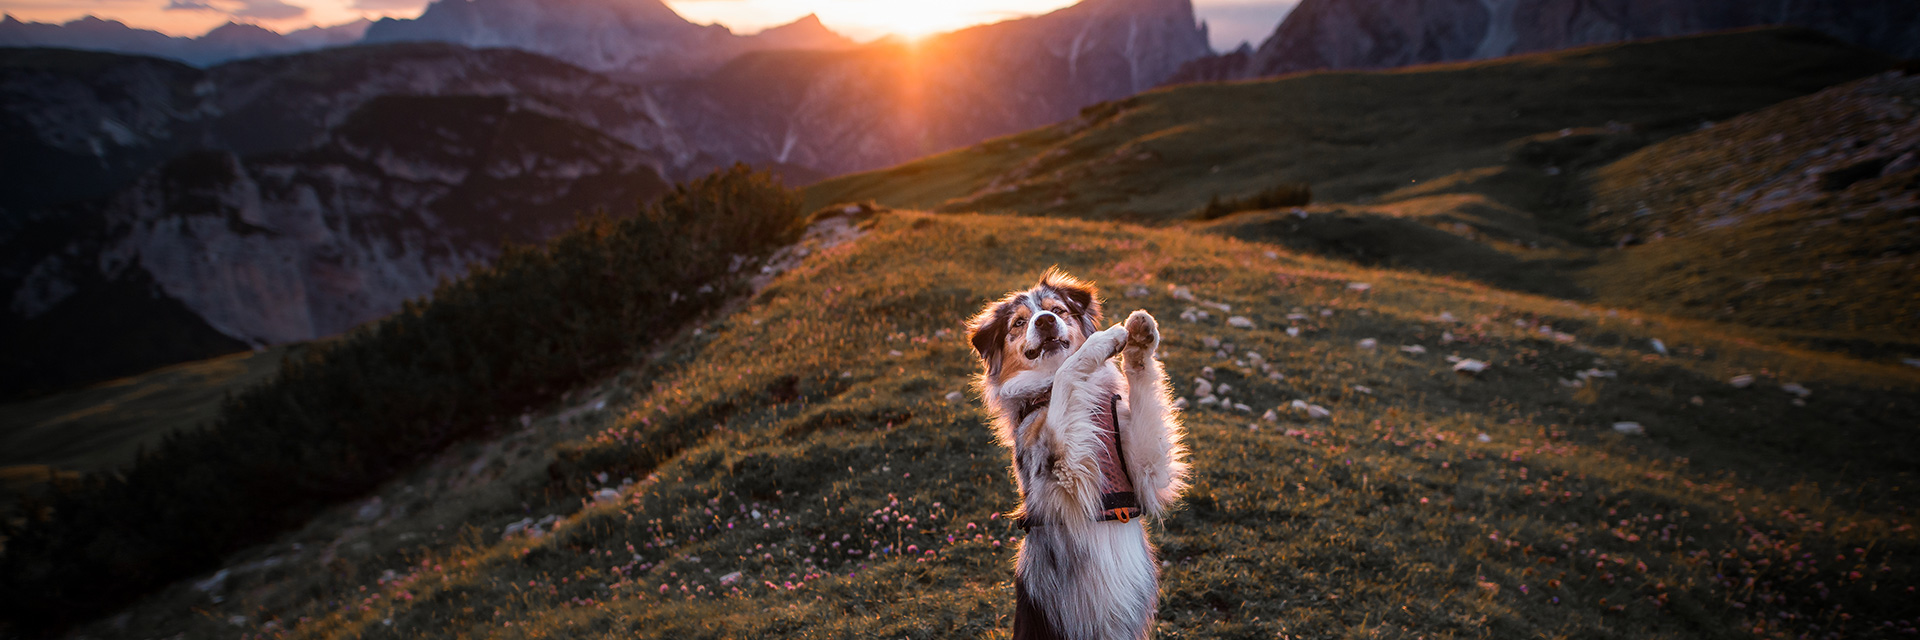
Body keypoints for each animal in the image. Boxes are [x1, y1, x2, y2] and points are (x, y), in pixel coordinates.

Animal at [967, 267, 1190, 638]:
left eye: (1058, 310)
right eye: (1019, 322)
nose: (1045, 321)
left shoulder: (1145, 468)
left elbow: (1143, 390)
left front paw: (1140, 338)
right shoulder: (1062, 470)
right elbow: (1067, 370)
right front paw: (1102, 341)